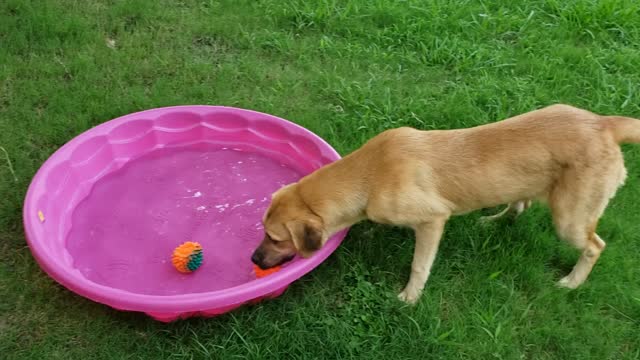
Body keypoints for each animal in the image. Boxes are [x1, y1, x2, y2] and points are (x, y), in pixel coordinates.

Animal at [250, 104, 640, 304]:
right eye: (263, 232)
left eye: (276, 238)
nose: (253, 259)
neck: (369, 173)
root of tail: (604, 123)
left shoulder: (432, 220)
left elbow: (419, 265)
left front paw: (409, 297)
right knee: (520, 205)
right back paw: (494, 219)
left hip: (570, 219)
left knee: (594, 245)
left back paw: (572, 283)